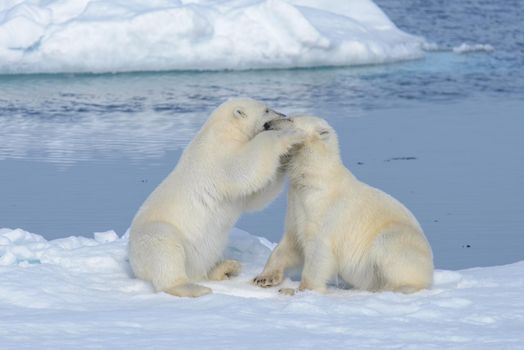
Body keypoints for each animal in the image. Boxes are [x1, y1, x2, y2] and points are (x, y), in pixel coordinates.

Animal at [128, 98, 304, 298]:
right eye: (266, 110)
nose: (283, 115)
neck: (223, 129)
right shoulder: (218, 154)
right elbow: (244, 168)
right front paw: (290, 135)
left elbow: (256, 195)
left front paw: (286, 158)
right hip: (154, 237)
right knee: (165, 249)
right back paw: (193, 287)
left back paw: (227, 267)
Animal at [255, 116, 434, 294]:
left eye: (290, 119)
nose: (267, 124)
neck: (314, 179)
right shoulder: (296, 205)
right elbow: (291, 242)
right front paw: (264, 278)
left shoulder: (325, 209)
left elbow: (318, 249)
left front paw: (299, 289)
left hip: (401, 242)